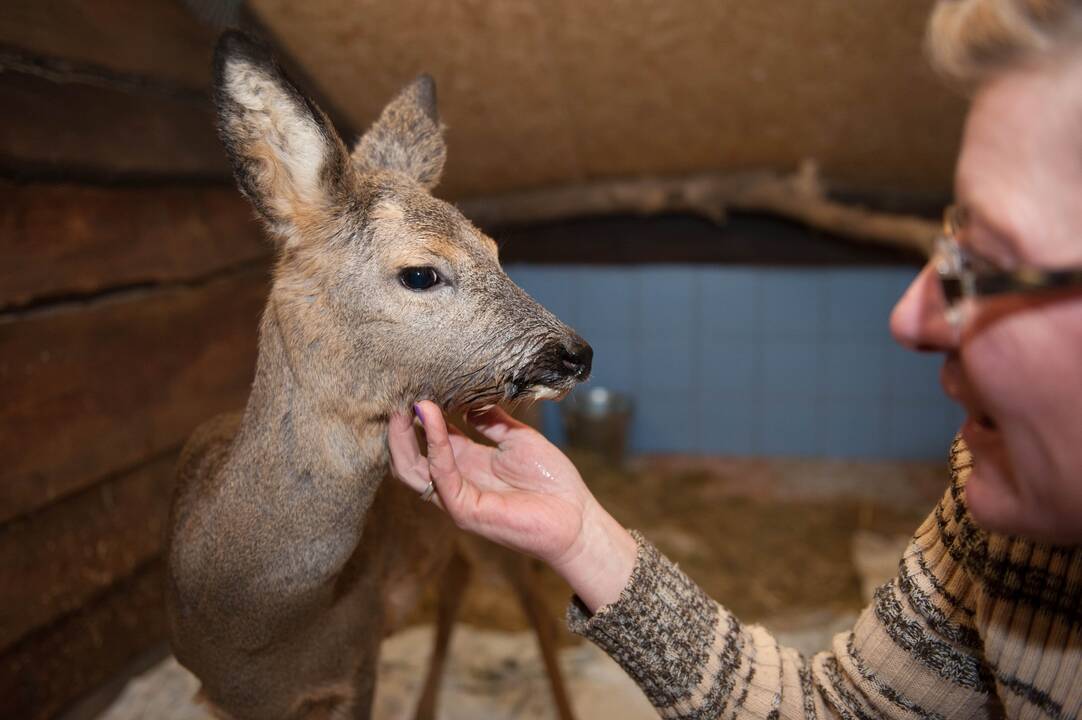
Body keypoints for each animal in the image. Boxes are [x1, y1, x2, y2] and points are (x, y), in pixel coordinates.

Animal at [164, 30, 592, 718]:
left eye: (497, 252)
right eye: (421, 273)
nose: (578, 353)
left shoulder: (358, 659)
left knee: (527, 595)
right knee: (456, 583)